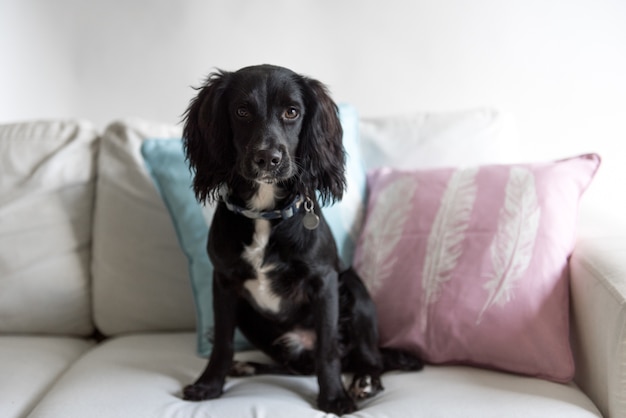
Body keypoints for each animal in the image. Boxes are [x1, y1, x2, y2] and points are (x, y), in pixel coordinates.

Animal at [182, 63, 424, 414]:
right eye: (241, 111)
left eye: (292, 111)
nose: (267, 158)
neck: (266, 213)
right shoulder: (224, 282)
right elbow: (223, 344)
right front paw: (210, 384)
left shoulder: (324, 281)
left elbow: (328, 350)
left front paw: (334, 397)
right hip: (252, 318)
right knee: (295, 367)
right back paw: (247, 366)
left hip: (354, 288)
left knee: (368, 358)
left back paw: (365, 379)